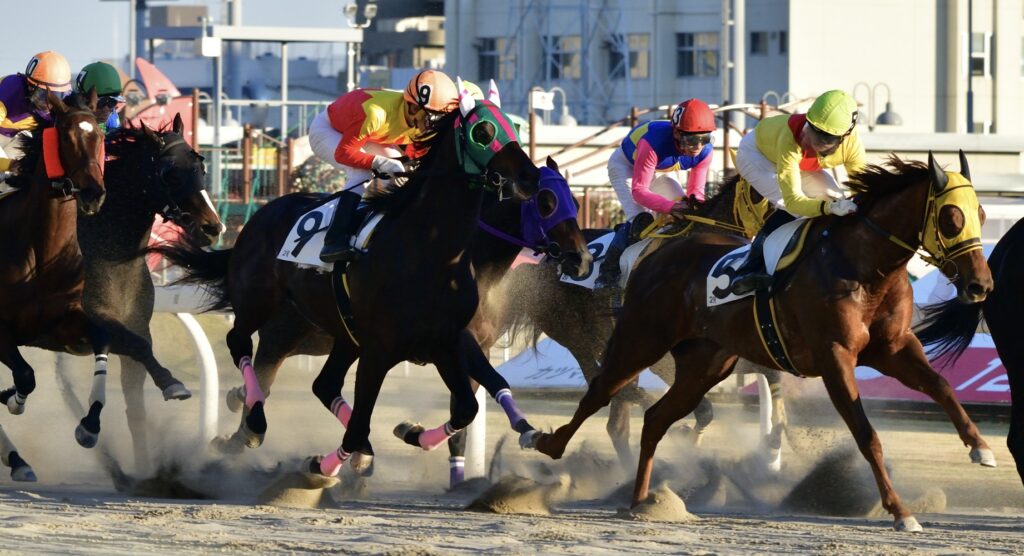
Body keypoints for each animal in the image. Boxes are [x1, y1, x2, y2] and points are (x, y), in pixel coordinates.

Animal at [0, 93, 105, 481]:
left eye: (100, 136)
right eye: (66, 136)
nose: (92, 193)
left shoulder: (62, 325)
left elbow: (103, 339)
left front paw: (90, 426)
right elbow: (26, 377)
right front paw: (12, 399)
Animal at [157, 93, 544, 477]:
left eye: (512, 126)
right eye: (484, 131)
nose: (530, 176)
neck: (431, 252)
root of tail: (258, 216)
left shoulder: (445, 341)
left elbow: (466, 408)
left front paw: (410, 432)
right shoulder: (379, 349)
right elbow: (359, 426)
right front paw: (323, 465)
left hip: (342, 331)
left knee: (323, 382)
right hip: (259, 303)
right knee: (239, 342)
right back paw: (253, 419)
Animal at [536, 153, 991, 536]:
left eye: (982, 214)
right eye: (951, 217)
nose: (980, 285)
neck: (861, 267)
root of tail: (654, 257)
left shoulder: (892, 347)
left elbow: (941, 386)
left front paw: (980, 448)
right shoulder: (834, 357)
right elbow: (866, 435)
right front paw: (899, 511)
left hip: (704, 366)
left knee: (655, 419)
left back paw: (642, 500)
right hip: (640, 340)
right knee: (601, 392)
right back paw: (546, 443)